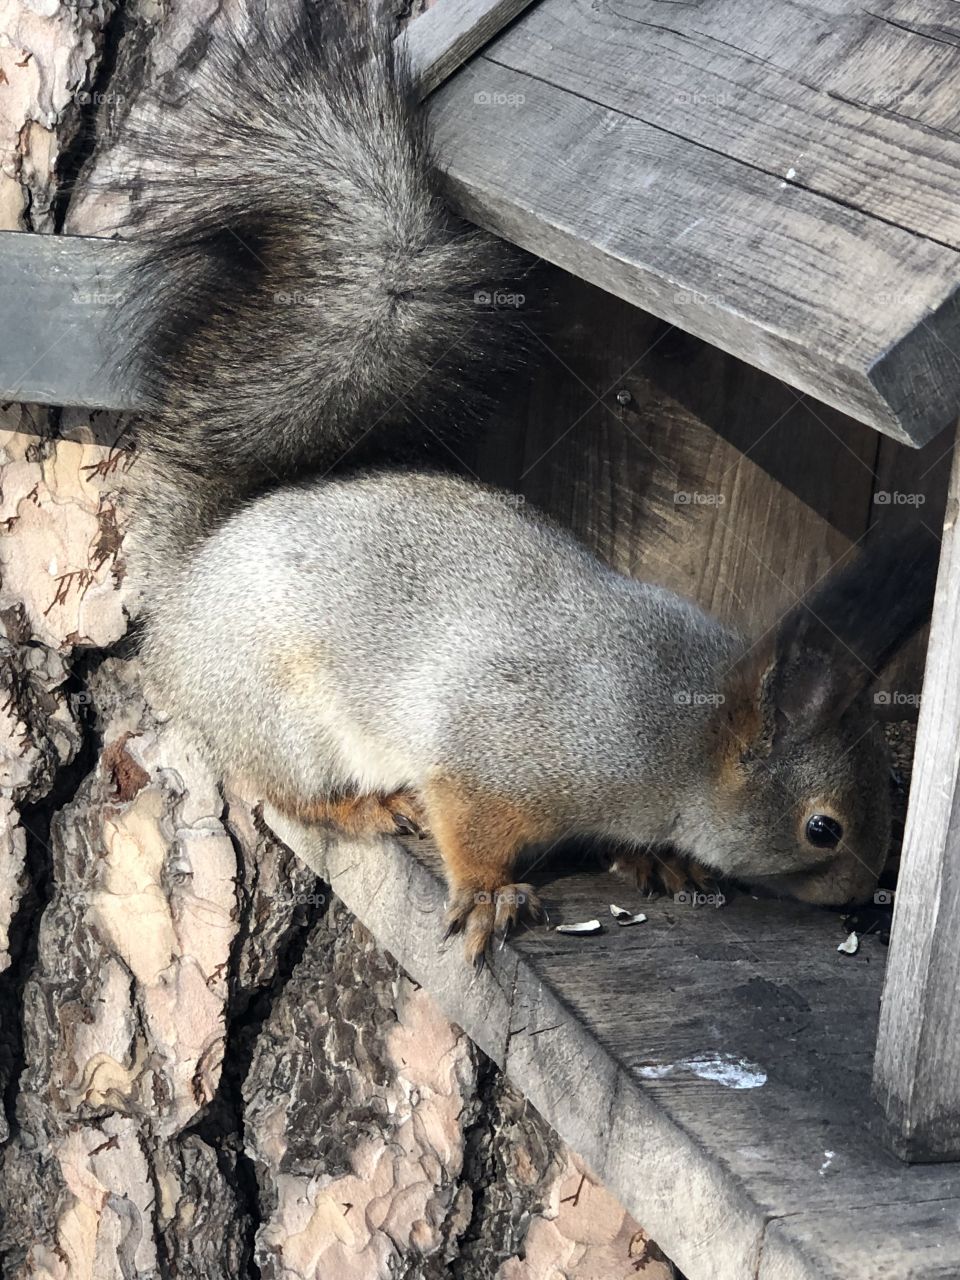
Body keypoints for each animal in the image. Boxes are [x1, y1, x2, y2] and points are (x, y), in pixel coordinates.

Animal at [114, 1, 940, 968]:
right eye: (823, 829)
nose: (859, 895)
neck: (671, 734)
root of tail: (189, 576)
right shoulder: (503, 754)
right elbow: (471, 819)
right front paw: (487, 894)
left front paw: (657, 862)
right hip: (277, 712)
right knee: (281, 789)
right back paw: (368, 804)